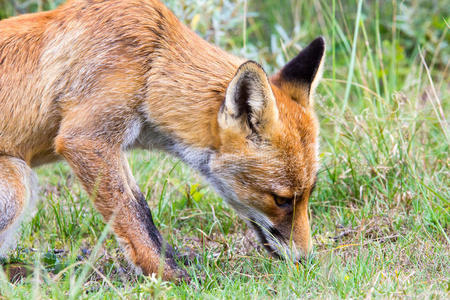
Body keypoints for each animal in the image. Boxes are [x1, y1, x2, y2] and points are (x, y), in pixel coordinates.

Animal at [0, 0, 324, 282]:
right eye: (281, 200)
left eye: (310, 193)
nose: (306, 260)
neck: (151, 66)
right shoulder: (86, 139)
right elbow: (132, 218)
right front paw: (167, 275)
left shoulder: (113, 145)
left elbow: (142, 210)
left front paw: (171, 259)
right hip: (18, 182)